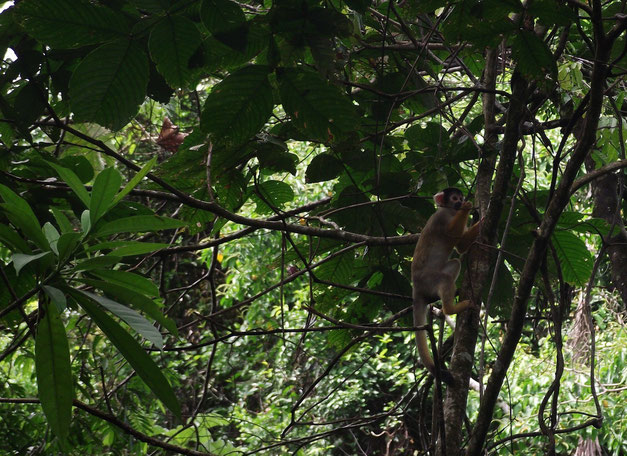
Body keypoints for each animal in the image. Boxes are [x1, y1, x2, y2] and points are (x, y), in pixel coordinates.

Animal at [414, 187, 484, 382]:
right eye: (454, 198)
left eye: (459, 197)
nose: (460, 202)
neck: (451, 211)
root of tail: (416, 286)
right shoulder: (441, 216)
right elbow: (452, 232)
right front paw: (467, 209)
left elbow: (461, 246)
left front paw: (480, 220)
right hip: (427, 279)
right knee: (444, 279)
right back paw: (451, 308)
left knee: (454, 264)